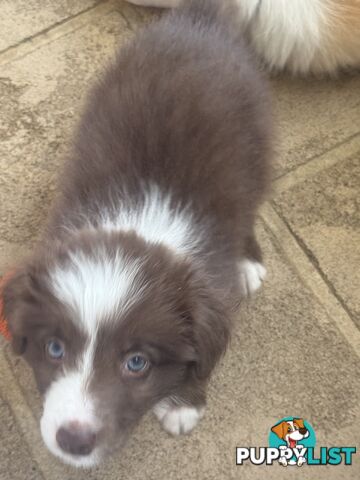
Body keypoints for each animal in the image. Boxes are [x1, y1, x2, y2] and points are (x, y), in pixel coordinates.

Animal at [2, 0, 272, 466]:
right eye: (54, 349)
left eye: (137, 362)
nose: (74, 441)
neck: (141, 220)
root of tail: (197, 20)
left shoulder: (211, 285)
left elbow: (207, 354)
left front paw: (183, 405)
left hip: (257, 150)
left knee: (251, 204)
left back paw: (249, 263)